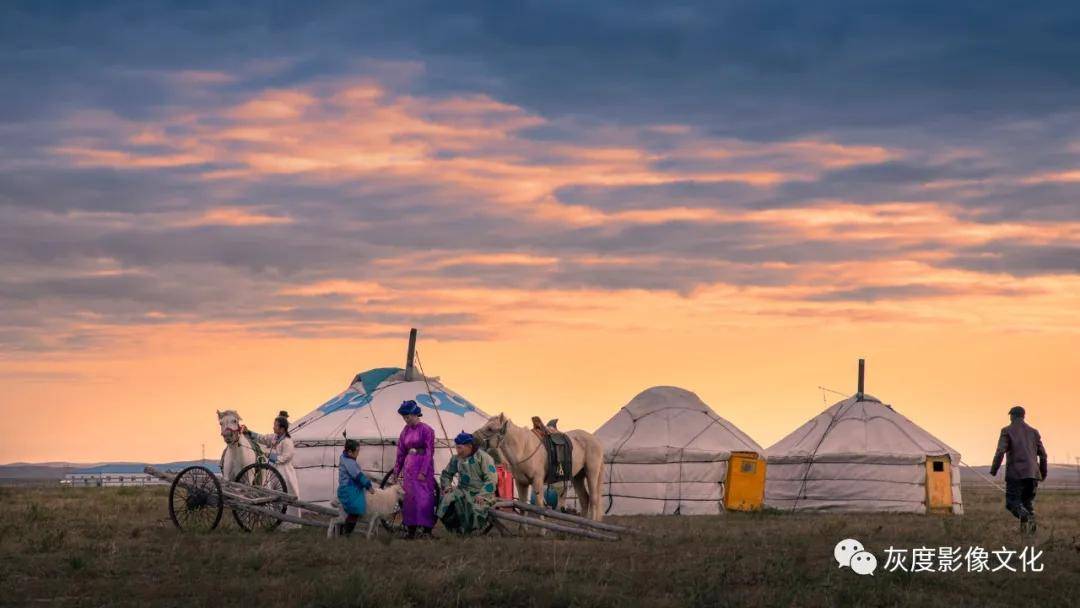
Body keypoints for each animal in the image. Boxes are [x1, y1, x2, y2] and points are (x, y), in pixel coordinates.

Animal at [475, 414, 609, 522]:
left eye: (490, 428)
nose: (473, 438)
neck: (523, 448)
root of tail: (596, 440)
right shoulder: (521, 483)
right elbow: (523, 506)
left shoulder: (537, 480)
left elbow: (539, 505)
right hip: (578, 477)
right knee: (584, 499)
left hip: (592, 473)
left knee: (594, 499)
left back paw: (591, 526)